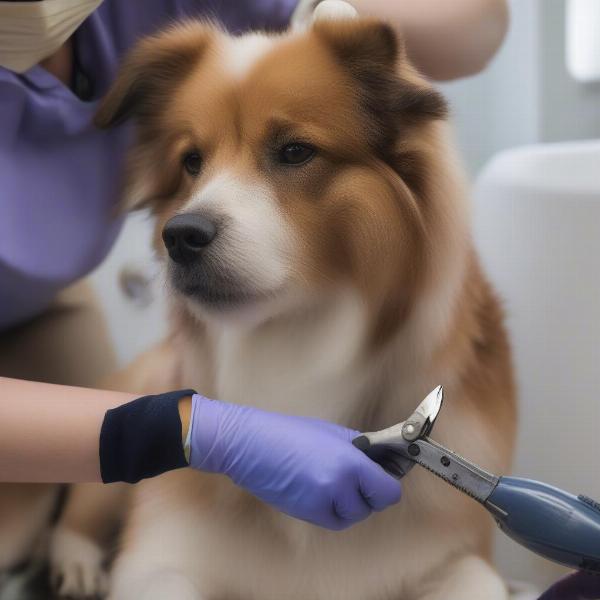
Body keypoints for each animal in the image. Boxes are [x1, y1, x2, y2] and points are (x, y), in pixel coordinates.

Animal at [48, 5, 516, 600]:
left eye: (294, 151)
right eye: (192, 161)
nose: (180, 236)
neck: (292, 353)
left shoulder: (459, 554)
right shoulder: (160, 554)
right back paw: (76, 563)